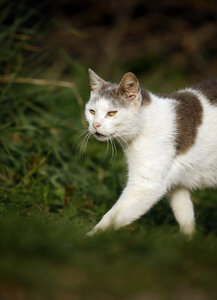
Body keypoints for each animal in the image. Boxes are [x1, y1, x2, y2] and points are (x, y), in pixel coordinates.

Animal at [85, 68, 217, 237]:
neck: (144, 124)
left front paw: (89, 237)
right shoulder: (176, 185)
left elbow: (113, 216)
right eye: (92, 111)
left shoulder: (147, 184)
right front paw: (188, 240)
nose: (95, 124)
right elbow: (185, 216)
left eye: (112, 113)